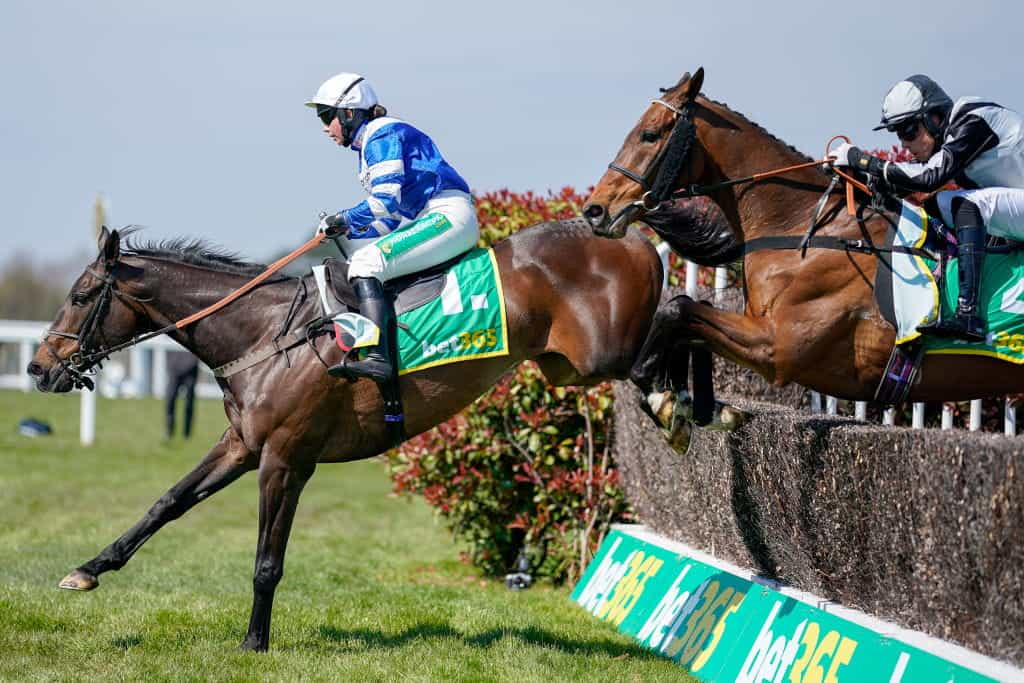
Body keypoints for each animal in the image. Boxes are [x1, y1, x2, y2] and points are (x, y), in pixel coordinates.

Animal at [29, 220, 663, 651]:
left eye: (81, 297)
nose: (38, 368)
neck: (263, 334)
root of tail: (631, 238)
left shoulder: (285, 459)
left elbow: (266, 561)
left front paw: (254, 642)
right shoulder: (242, 445)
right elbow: (167, 503)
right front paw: (88, 569)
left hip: (607, 355)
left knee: (674, 329)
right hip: (568, 367)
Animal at [581, 68, 1024, 411]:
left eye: (650, 135)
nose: (595, 209)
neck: (800, 226)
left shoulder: (776, 348)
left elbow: (679, 309)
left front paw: (660, 394)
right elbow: (686, 314)